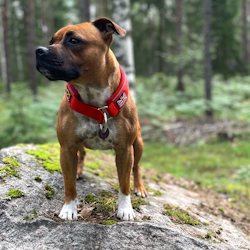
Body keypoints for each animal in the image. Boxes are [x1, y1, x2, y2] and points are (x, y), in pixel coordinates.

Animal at [36, 18, 147, 221]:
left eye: (73, 40)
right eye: (51, 41)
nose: (39, 50)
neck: (95, 102)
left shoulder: (125, 150)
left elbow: (124, 182)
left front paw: (125, 208)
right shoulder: (67, 148)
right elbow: (69, 184)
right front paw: (69, 208)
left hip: (138, 143)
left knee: (137, 167)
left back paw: (139, 187)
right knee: (81, 156)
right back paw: (78, 171)